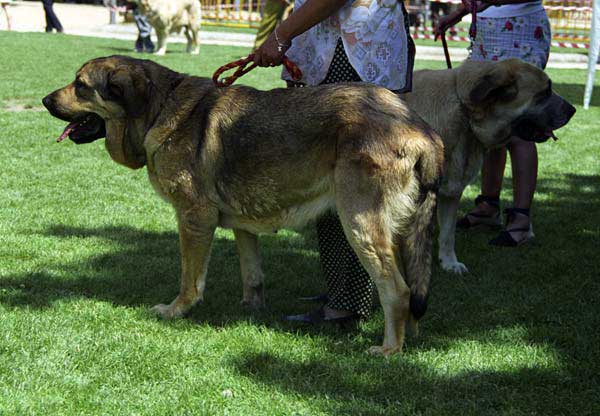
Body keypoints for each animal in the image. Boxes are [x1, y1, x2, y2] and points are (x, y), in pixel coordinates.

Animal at [42, 54, 442, 354]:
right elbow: (252, 276)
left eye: (80, 85)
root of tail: (418, 127)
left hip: (360, 226)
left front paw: (176, 310)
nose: (45, 101)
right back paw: (410, 338)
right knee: (413, 291)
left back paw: (389, 349)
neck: (157, 109)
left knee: (397, 291)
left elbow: (190, 278)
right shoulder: (243, 228)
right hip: (399, 231)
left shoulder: (193, 219)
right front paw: (250, 312)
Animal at [400, 57, 576, 272]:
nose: (573, 110)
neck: (465, 115)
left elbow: (448, 233)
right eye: (544, 92)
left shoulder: (450, 194)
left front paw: (450, 262)